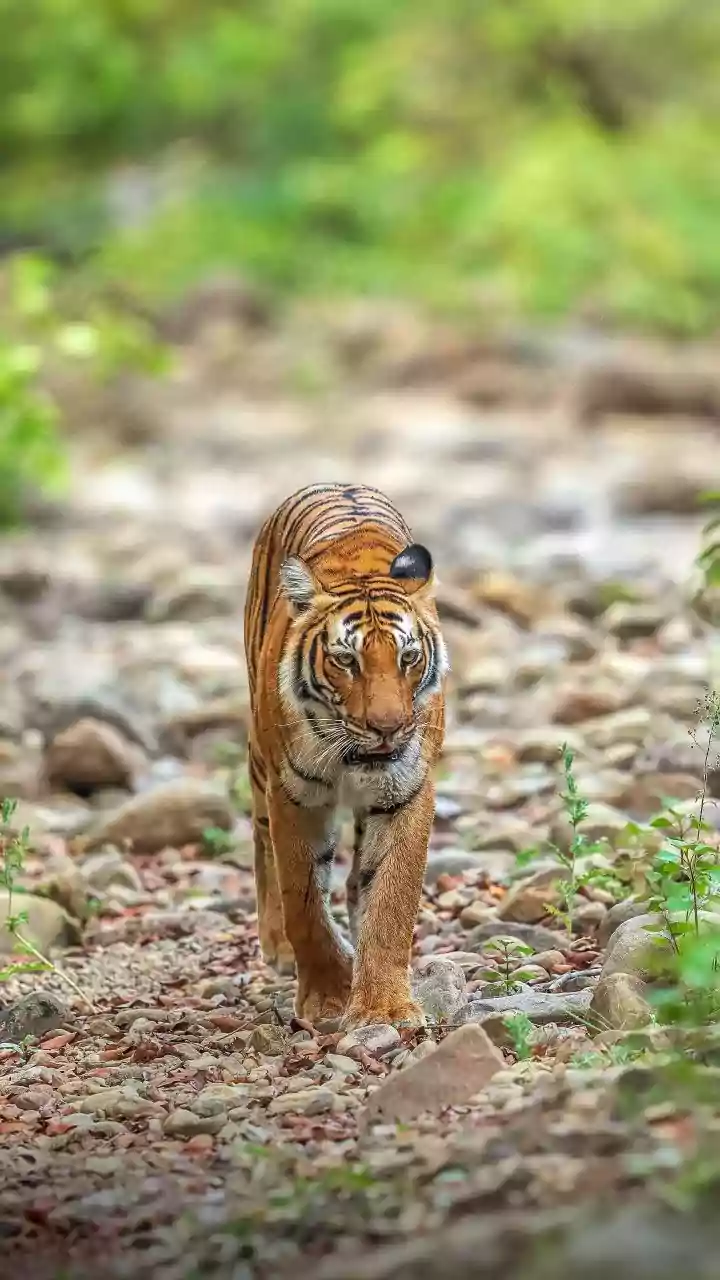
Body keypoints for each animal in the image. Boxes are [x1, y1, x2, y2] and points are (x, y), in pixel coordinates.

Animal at [243, 482, 447, 1029]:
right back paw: (278, 946)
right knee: (262, 841)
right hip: (260, 762)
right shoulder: (295, 795)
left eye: (408, 657)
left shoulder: (405, 790)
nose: (388, 727)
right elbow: (304, 900)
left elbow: (391, 895)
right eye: (345, 660)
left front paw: (383, 1007)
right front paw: (329, 996)